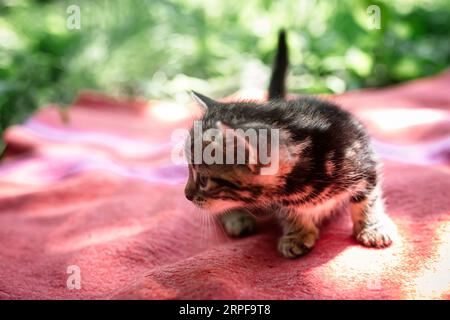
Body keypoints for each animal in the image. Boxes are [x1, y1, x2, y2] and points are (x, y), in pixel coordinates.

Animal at [185, 30, 396, 258]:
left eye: (203, 179)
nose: (186, 195)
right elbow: (290, 211)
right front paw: (298, 234)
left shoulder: (364, 158)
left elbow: (367, 199)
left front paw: (373, 227)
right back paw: (237, 218)